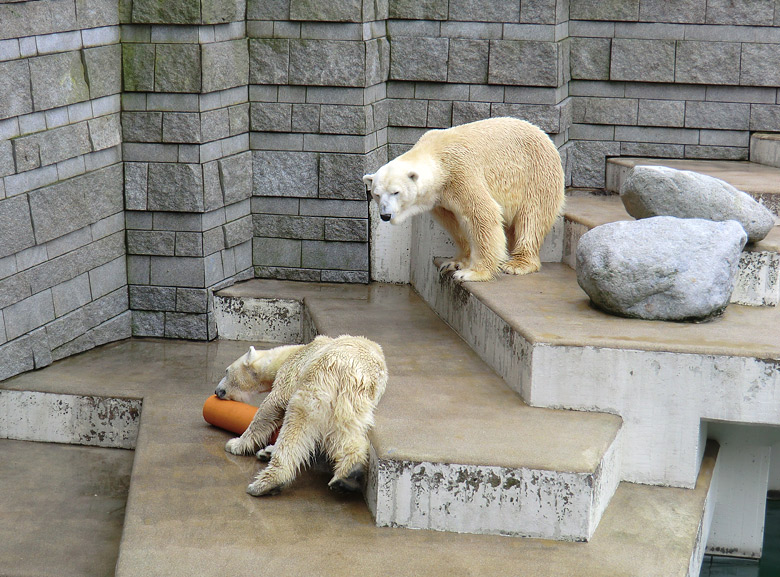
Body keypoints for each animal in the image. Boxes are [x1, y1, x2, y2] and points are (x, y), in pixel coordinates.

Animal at [215, 332, 388, 496]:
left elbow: (274, 403)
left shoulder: (293, 369)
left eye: (226, 371)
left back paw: (265, 483)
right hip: (357, 401)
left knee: (297, 421)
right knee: (347, 430)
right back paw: (349, 476)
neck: (288, 354)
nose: (217, 391)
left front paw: (236, 444)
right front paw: (266, 450)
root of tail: (354, 372)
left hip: (320, 379)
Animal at [362, 116, 564, 282]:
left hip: (536, 175)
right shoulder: (440, 196)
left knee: (532, 218)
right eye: (377, 194)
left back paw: (518, 264)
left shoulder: (461, 172)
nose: (385, 215)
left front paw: (472, 272)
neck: (436, 153)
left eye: (396, 192)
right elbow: (454, 222)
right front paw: (454, 262)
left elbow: (482, 214)